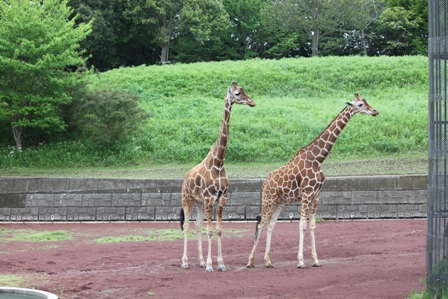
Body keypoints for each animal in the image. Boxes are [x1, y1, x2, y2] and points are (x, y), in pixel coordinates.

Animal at [179, 81, 256, 274]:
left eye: (243, 90)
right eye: (237, 94)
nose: (252, 102)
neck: (219, 162)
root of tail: (185, 177)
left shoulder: (222, 198)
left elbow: (219, 229)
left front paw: (220, 264)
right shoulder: (209, 198)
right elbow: (210, 230)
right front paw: (209, 265)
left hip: (199, 203)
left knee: (197, 225)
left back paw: (199, 261)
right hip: (187, 199)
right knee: (187, 225)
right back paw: (185, 262)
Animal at [247, 93, 380, 270]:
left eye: (366, 101)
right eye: (360, 104)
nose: (375, 111)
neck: (317, 159)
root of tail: (265, 182)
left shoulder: (316, 195)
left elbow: (312, 225)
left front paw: (315, 260)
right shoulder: (307, 193)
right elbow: (302, 225)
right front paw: (301, 261)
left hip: (280, 201)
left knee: (270, 224)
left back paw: (268, 261)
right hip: (269, 199)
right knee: (261, 224)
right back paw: (250, 261)